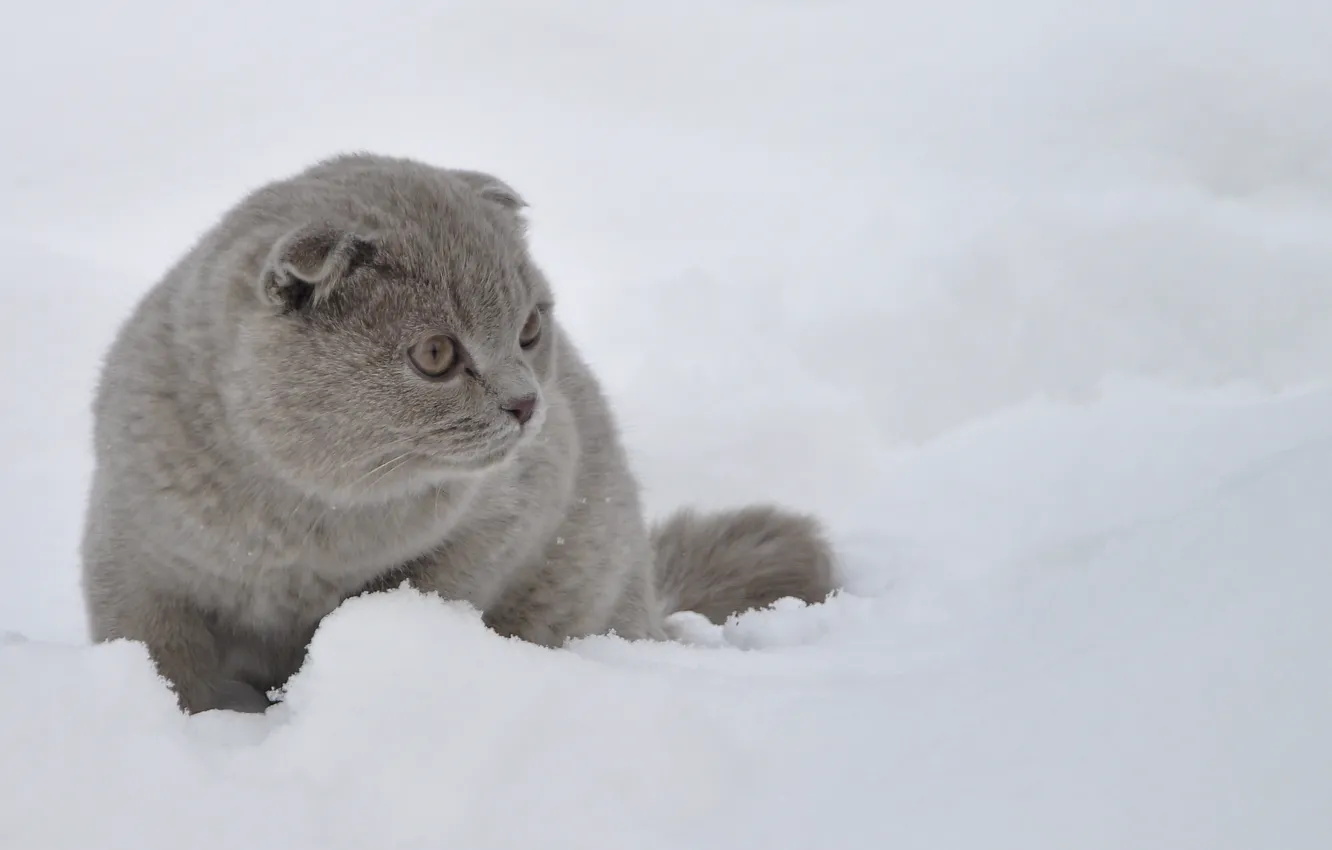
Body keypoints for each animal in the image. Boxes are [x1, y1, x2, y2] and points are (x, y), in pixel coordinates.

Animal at [77, 151, 836, 714]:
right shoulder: (134, 551)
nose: (527, 403)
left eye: (530, 329)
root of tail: (653, 599)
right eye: (437, 355)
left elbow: (428, 587)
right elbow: (164, 655)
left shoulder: (509, 510)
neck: (301, 525)